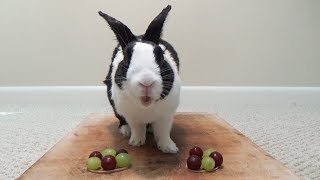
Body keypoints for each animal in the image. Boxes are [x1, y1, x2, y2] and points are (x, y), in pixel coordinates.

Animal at [99, 4, 180, 153]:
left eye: (161, 56)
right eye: (126, 58)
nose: (146, 81)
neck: (145, 107)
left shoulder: (166, 116)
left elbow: (163, 132)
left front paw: (170, 148)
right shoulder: (132, 116)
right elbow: (137, 129)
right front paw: (136, 142)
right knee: (122, 120)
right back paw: (125, 130)